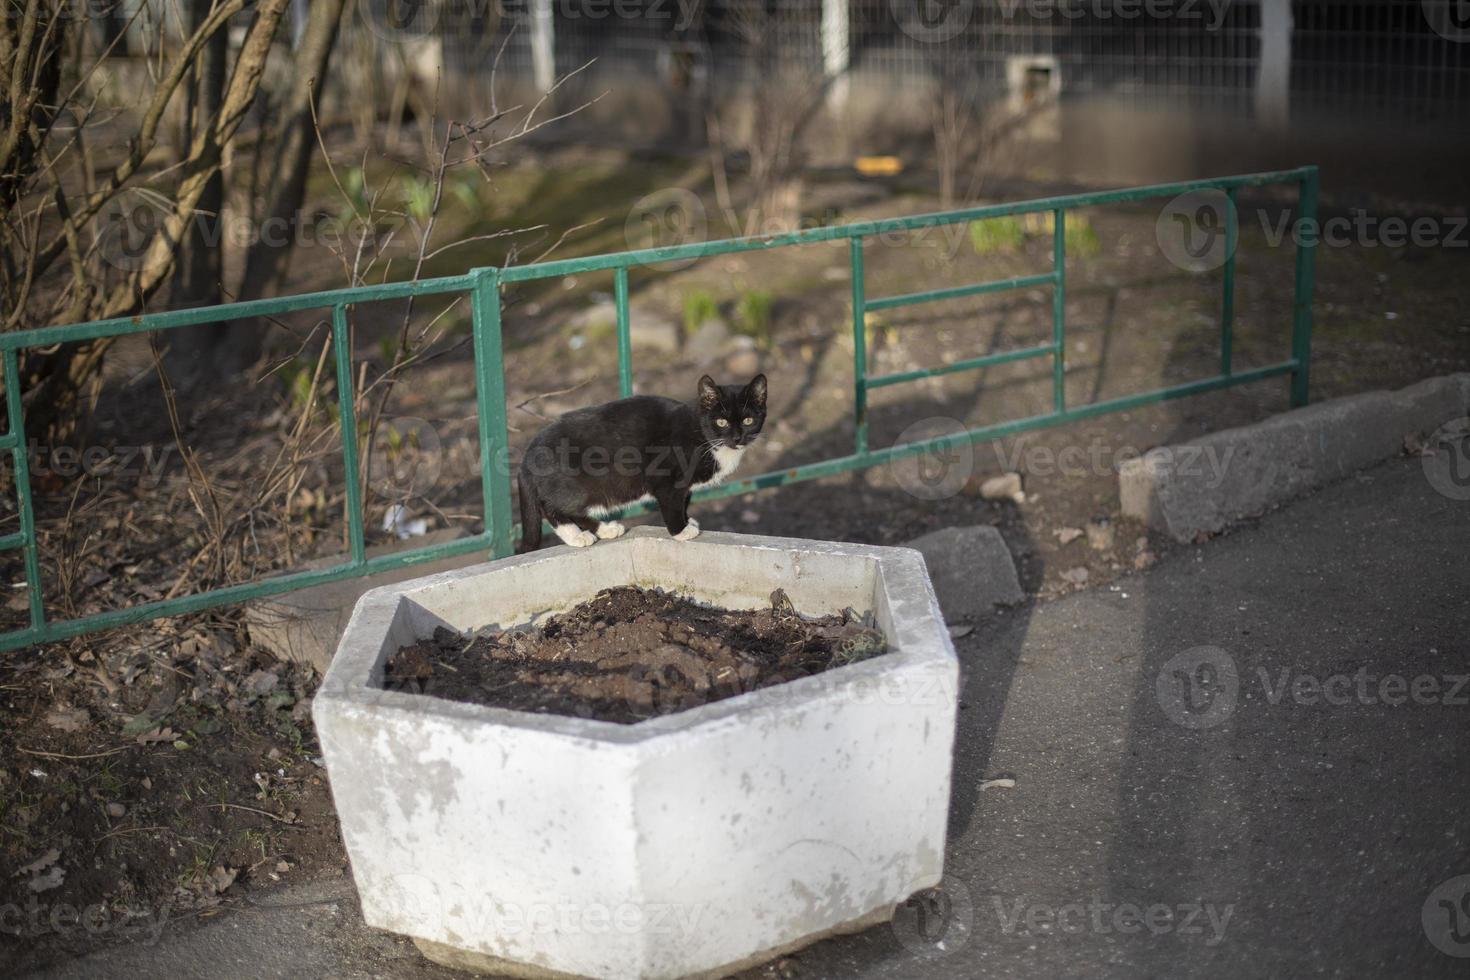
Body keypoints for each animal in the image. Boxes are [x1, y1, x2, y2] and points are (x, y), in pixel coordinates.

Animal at [517, 371, 770, 552]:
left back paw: (605, 529)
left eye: (748, 420)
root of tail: (528, 453)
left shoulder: (685, 485)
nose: (737, 438)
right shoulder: (666, 480)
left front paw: (688, 521)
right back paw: (577, 535)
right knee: (553, 508)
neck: (703, 435)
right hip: (576, 486)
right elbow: (671, 505)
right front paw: (681, 531)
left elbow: (684, 501)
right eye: (721, 422)